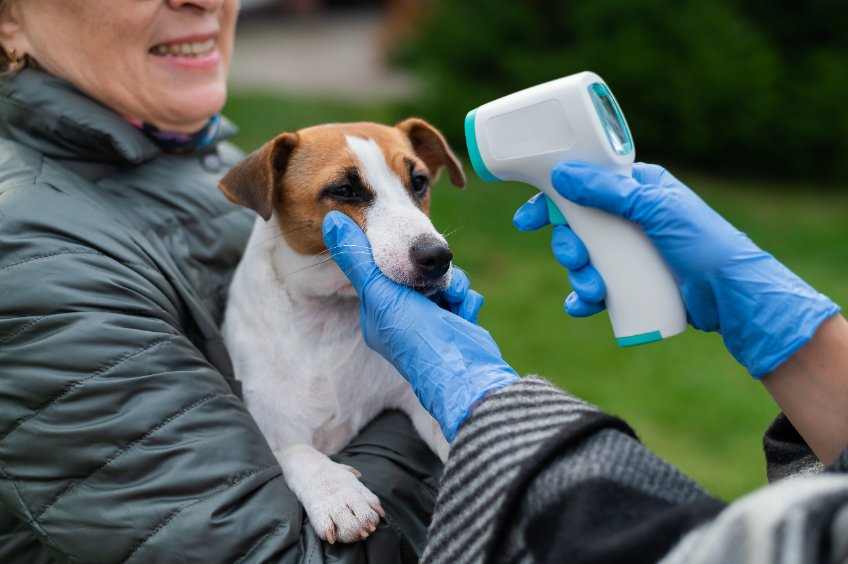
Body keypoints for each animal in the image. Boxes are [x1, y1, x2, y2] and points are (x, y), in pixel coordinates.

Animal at [219, 120, 468, 548]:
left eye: (419, 181)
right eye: (345, 190)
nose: (437, 257)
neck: (328, 317)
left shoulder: (411, 393)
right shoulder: (271, 426)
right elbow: (297, 453)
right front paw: (337, 494)